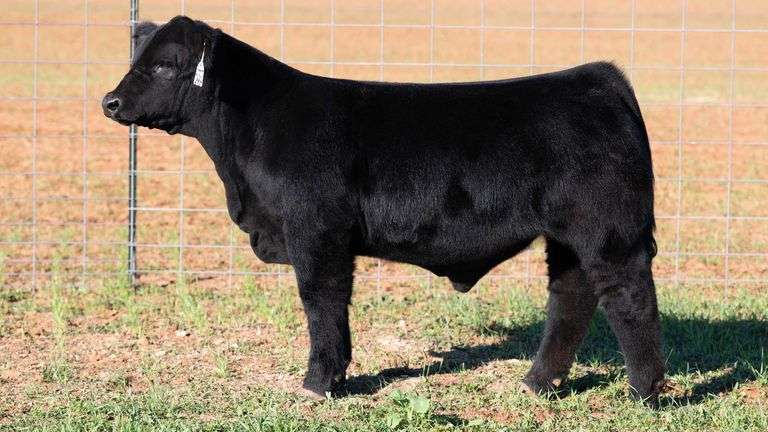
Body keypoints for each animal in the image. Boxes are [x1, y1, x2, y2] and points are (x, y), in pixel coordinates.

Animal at [103, 16, 665, 405]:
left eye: (165, 64)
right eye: (138, 57)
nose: (110, 102)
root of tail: (597, 77)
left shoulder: (317, 231)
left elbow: (322, 303)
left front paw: (318, 384)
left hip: (607, 231)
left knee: (630, 299)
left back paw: (645, 393)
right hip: (569, 237)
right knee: (571, 297)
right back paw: (537, 383)